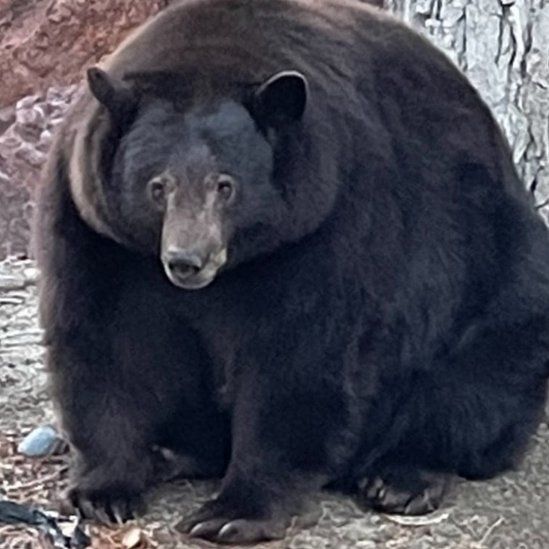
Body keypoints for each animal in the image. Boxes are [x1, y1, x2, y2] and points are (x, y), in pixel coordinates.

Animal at [34, 0, 548, 540]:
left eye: (226, 185)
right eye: (158, 186)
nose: (186, 260)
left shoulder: (330, 220)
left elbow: (299, 356)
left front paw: (232, 512)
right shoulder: (97, 232)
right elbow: (107, 341)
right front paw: (104, 490)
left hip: (497, 275)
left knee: (477, 381)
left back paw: (402, 476)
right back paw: (173, 452)